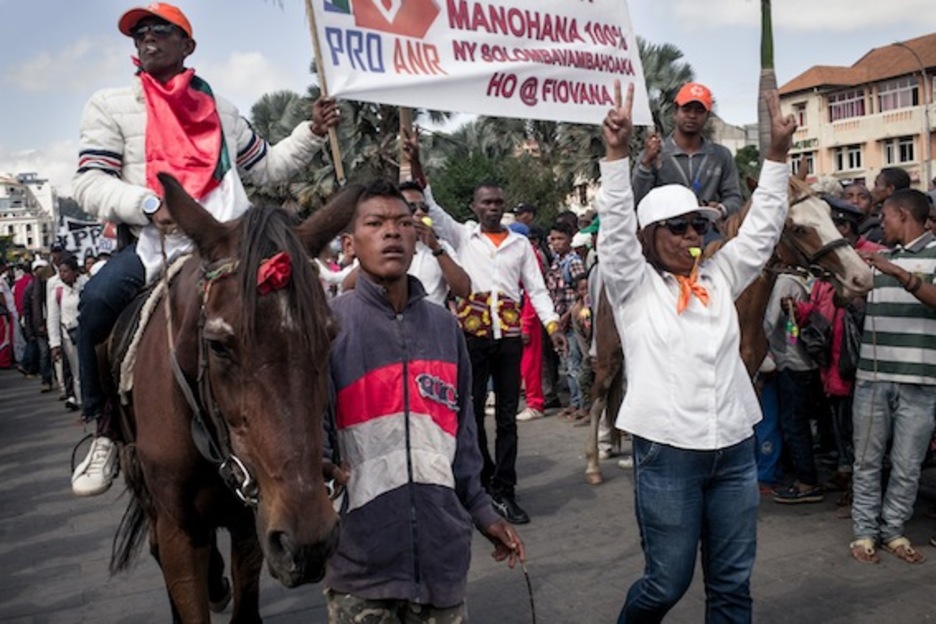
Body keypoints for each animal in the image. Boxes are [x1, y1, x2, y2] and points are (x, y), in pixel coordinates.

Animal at [584, 173, 872, 486]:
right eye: (799, 227)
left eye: (829, 214)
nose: (861, 277)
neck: (739, 306)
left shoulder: (753, 381)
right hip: (609, 357)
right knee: (598, 401)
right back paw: (594, 467)